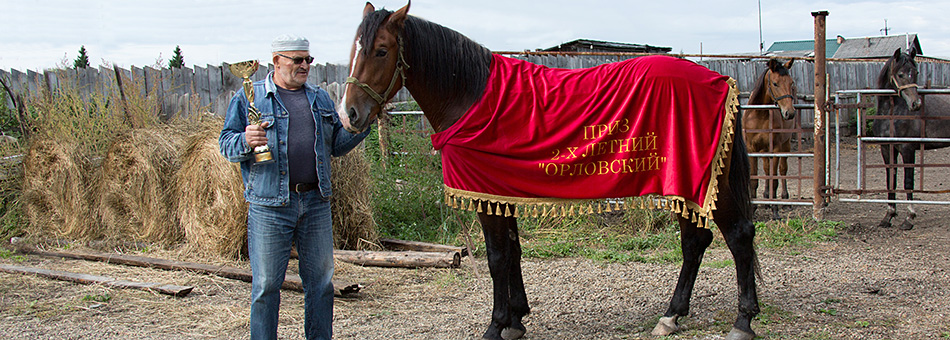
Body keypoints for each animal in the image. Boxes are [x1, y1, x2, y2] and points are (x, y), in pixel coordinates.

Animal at [338, 2, 764, 340]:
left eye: (381, 50)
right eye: (354, 51)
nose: (349, 114)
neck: (471, 95)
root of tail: (721, 81)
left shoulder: (485, 195)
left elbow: (496, 256)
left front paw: (496, 325)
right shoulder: (498, 193)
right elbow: (513, 251)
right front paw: (516, 319)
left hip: (708, 182)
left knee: (739, 236)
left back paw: (742, 321)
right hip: (684, 182)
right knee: (695, 242)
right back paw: (672, 316)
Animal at [748, 57, 800, 220]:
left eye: (791, 82)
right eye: (775, 83)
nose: (789, 113)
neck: (759, 114)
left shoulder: (775, 148)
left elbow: (775, 179)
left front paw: (775, 211)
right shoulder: (752, 149)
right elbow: (754, 179)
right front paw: (753, 209)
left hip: (786, 144)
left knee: (782, 170)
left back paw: (784, 199)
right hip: (764, 150)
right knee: (766, 170)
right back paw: (765, 198)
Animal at [872, 46, 950, 230]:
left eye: (915, 72)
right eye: (900, 74)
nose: (916, 104)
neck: (892, 114)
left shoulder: (907, 149)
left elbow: (908, 182)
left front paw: (909, 218)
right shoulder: (887, 149)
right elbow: (891, 181)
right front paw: (888, 216)